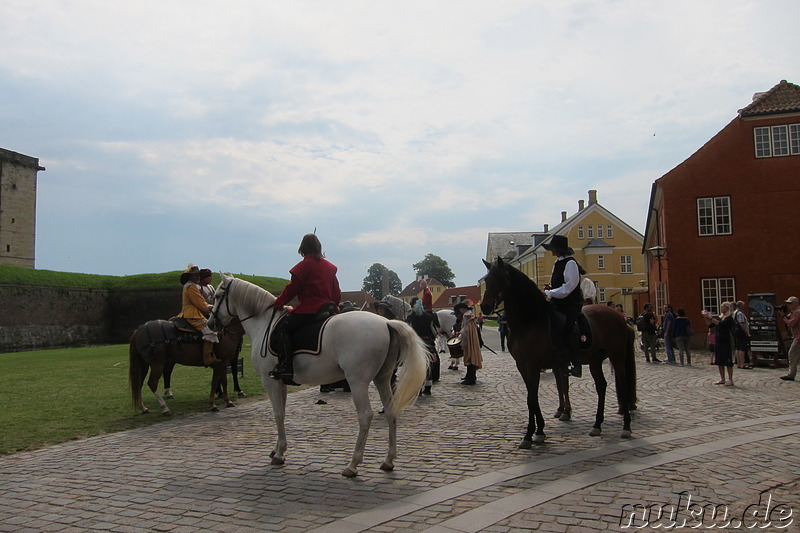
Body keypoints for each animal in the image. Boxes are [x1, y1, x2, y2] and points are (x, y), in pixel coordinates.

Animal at [209, 272, 428, 476]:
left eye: (218, 295)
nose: (211, 323)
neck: (264, 323)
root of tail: (386, 323)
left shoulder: (269, 381)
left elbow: (277, 414)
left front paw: (279, 454)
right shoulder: (281, 382)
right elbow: (282, 413)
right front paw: (278, 449)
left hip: (357, 382)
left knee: (365, 415)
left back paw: (353, 464)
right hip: (382, 378)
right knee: (391, 411)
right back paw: (388, 460)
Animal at [482, 256, 636, 444]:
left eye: (499, 278)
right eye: (487, 280)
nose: (484, 307)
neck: (529, 321)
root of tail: (620, 317)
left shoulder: (534, 366)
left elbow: (532, 397)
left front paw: (530, 434)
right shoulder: (523, 366)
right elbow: (533, 397)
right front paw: (539, 431)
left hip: (617, 356)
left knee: (623, 386)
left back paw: (626, 427)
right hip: (595, 360)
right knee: (601, 386)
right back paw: (597, 425)